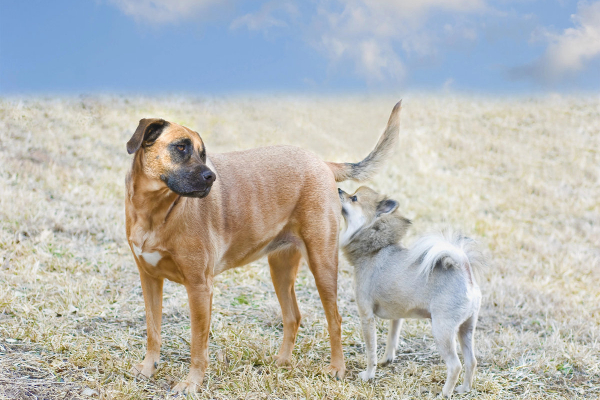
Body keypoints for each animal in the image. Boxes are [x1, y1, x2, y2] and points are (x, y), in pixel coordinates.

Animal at [124, 101, 400, 394]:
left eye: (203, 153)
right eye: (180, 147)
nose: (211, 178)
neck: (155, 211)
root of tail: (322, 163)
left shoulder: (199, 287)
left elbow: (198, 344)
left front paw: (192, 383)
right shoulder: (149, 279)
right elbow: (153, 330)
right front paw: (148, 368)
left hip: (322, 264)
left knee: (334, 319)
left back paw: (337, 368)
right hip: (280, 268)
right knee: (293, 316)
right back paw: (282, 361)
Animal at [338, 187, 482, 396]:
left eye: (354, 198)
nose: (339, 189)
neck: (374, 249)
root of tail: (465, 271)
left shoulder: (366, 316)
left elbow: (371, 350)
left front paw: (369, 374)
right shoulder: (397, 315)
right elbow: (392, 338)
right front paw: (386, 360)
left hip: (442, 331)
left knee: (455, 365)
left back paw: (444, 393)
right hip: (466, 329)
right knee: (471, 361)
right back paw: (464, 388)